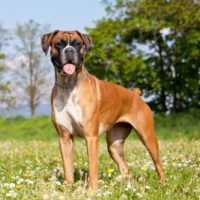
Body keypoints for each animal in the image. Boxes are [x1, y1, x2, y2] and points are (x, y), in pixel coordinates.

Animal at [40, 29, 166, 188]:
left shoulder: (91, 138)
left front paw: (92, 190)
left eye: (77, 44)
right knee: (125, 167)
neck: (68, 86)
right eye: (59, 44)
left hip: (147, 137)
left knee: (158, 164)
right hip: (114, 145)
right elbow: (68, 169)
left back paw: (163, 185)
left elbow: (92, 168)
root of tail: (135, 94)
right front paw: (68, 189)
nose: (69, 50)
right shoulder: (65, 138)